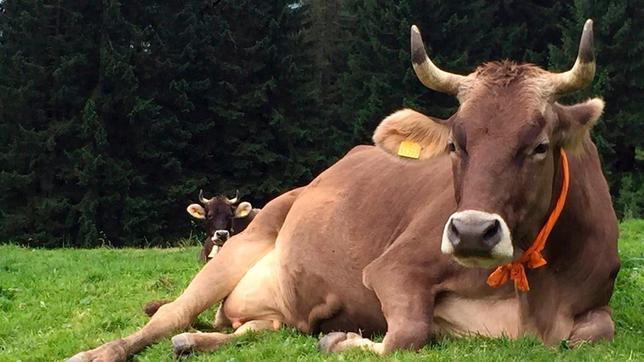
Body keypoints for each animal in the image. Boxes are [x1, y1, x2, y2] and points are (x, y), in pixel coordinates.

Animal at [66, 20, 620, 362]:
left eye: (540, 145)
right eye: (456, 144)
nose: (470, 233)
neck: (529, 289)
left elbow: (596, 333)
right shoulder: (393, 267)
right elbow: (408, 335)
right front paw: (341, 339)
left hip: (275, 314)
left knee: (253, 327)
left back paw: (194, 341)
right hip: (245, 243)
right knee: (168, 315)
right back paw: (100, 351)